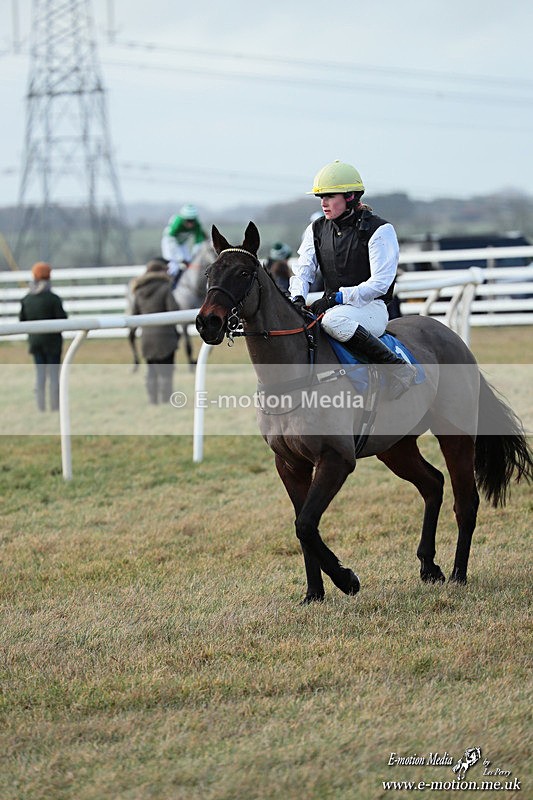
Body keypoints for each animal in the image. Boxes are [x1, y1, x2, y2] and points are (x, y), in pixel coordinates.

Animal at [196, 222, 533, 604]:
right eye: (209, 273)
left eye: (243, 272)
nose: (207, 322)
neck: (296, 375)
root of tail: (453, 339)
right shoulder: (290, 464)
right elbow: (302, 527)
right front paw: (314, 593)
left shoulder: (336, 458)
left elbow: (305, 525)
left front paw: (347, 579)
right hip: (395, 446)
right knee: (432, 483)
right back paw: (429, 566)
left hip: (455, 435)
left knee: (466, 501)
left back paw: (459, 574)